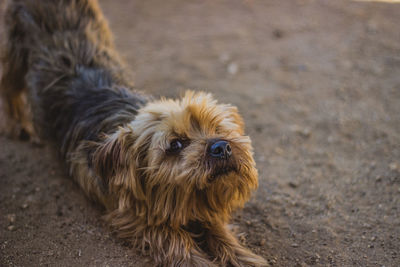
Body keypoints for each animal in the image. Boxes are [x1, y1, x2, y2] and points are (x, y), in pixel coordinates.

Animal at [0, 1, 268, 266]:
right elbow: (174, 240)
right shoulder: (130, 217)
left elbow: (218, 230)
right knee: (9, 85)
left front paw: (242, 256)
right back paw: (19, 125)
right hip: (14, 50)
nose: (221, 147)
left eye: (217, 128)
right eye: (175, 145)